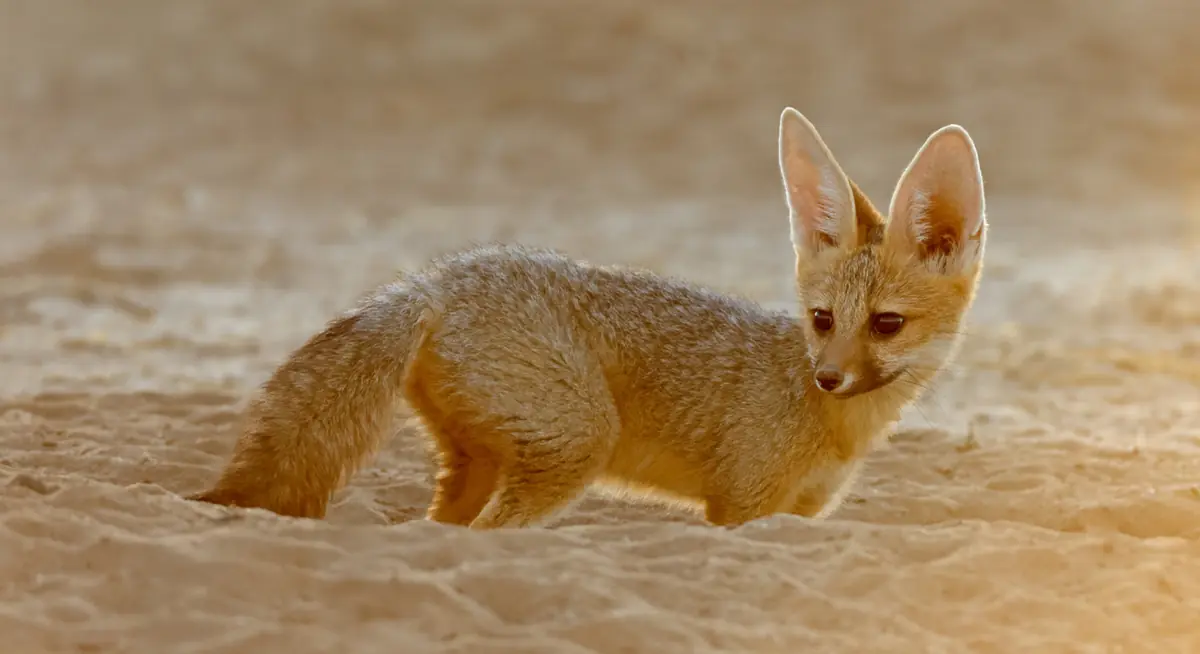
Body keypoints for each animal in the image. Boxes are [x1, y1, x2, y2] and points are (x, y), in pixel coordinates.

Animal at [187, 107, 987, 529]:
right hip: (578, 444)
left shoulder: (799, 518)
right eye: (822, 319)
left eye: (885, 324)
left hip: (480, 464)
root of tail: (434, 280)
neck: (840, 430)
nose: (826, 378)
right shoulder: (739, 508)